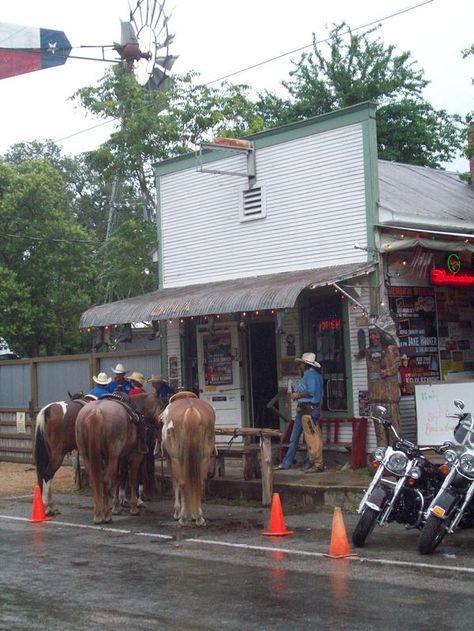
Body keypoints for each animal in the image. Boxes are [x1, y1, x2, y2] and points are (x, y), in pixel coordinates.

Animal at [162, 392, 216, 524]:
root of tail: (191, 410)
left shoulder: (169, 460)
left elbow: (175, 484)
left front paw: (178, 512)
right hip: (205, 457)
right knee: (200, 482)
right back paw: (199, 517)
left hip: (176, 458)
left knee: (182, 482)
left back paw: (183, 517)